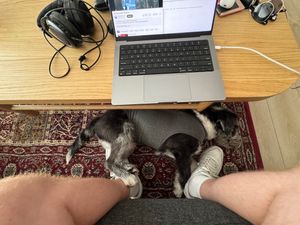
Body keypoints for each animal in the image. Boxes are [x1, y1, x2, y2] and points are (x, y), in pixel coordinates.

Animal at [67, 103, 240, 197]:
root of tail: (97, 121)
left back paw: (128, 168)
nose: (239, 140)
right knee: (108, 162)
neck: (203, 121)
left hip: (131, 141)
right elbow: (185, 174)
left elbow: (193, 165)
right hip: (124, 132)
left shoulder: (182, 155)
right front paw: (179, 190)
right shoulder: (181, 151)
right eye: (236, 127)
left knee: (117, 159)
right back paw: (128, 177)